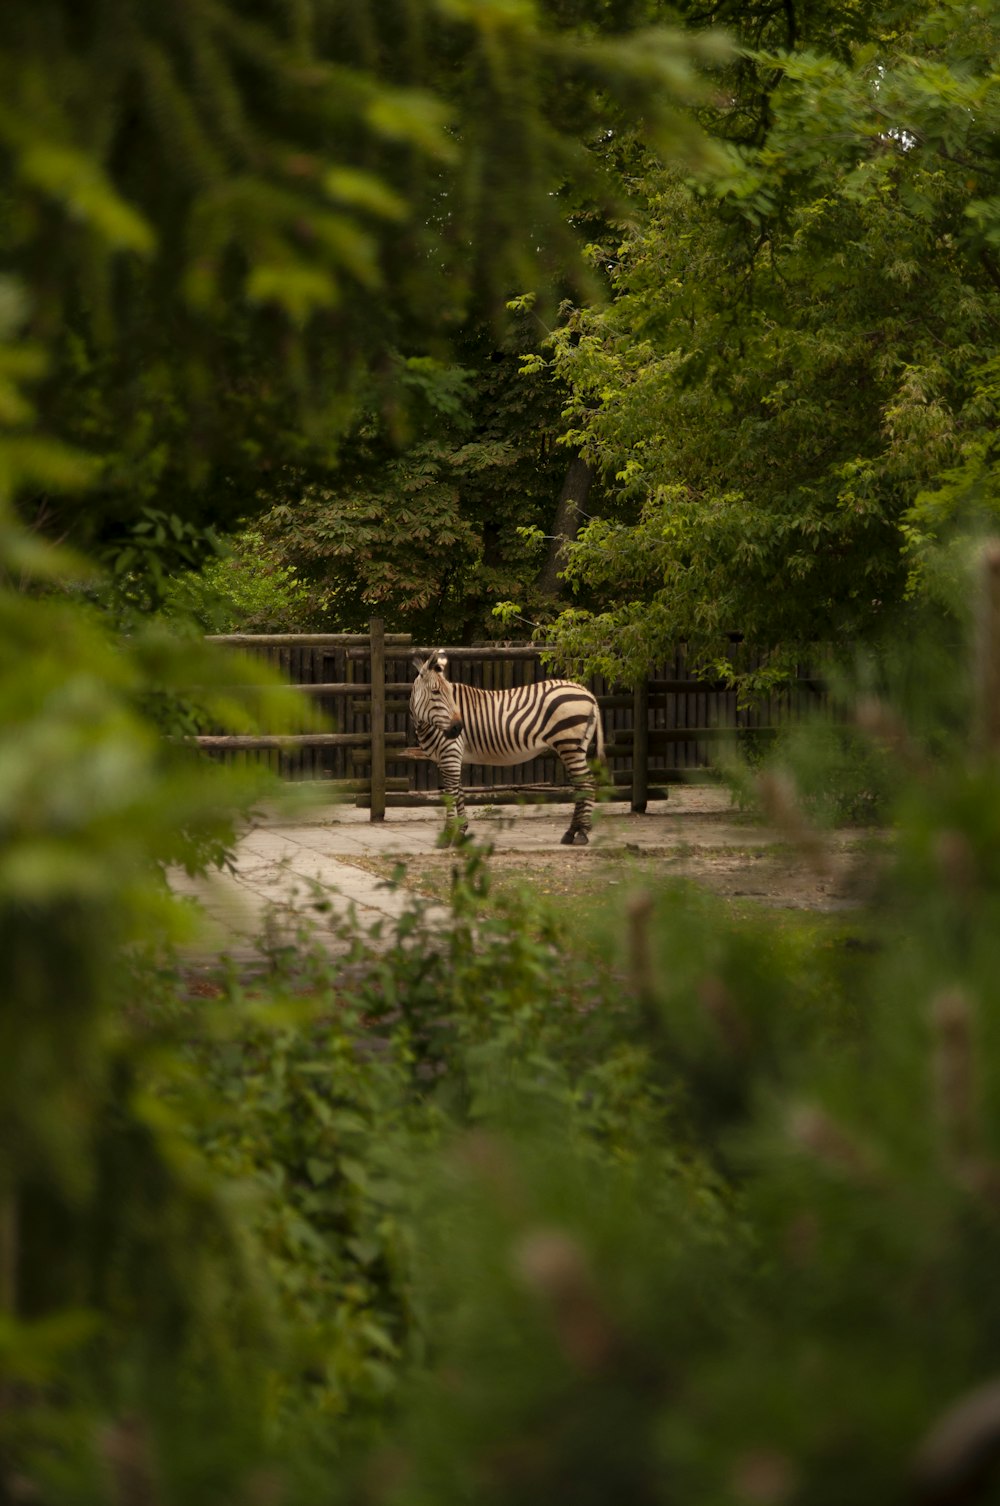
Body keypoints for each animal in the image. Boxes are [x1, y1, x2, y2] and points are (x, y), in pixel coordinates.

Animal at [409, 653, 605, 849]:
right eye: (436, 692)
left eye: (450, 694)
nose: (458, 729)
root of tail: (588, 693)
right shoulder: (450, 758)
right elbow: (459, 793)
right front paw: (460, 834)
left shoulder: (451, 753)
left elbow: (451, 794)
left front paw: (447, 836)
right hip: (575, 746)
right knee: (581, 783)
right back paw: (572, 832)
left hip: (568, 744)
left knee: (587, 782)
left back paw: (581, 833)